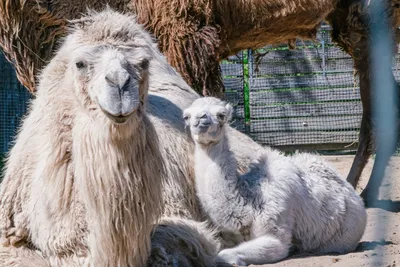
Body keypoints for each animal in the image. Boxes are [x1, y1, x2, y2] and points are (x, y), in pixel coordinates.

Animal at [183, 97, 368, 266]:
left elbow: (223, 255)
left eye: (221, 115)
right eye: (187, 116)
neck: (247, 203)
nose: (200, 120)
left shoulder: (275, 225)